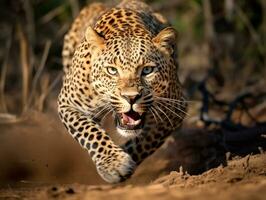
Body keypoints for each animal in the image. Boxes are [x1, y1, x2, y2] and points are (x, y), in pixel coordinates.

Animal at [58, 0, 187, 184]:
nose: (131, 97)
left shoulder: (174, 110)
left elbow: (144, 142)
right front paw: (114, 164)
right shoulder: (68, 104)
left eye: (147, 70)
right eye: (112, 70)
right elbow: (90, 133)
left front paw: (124, 161)